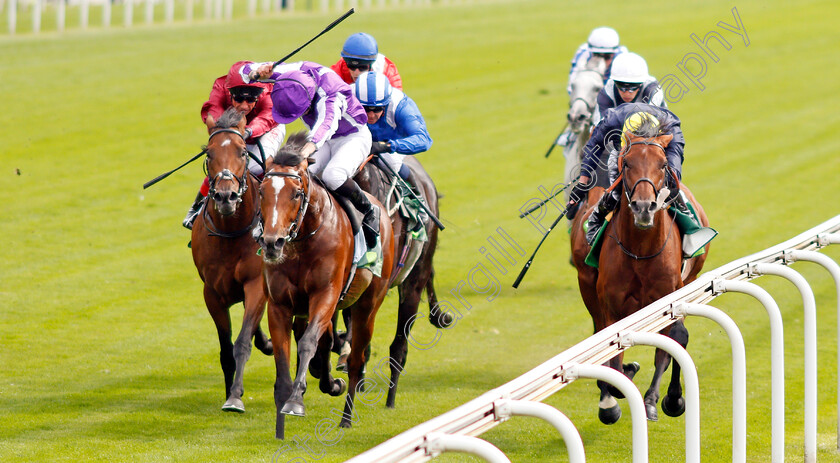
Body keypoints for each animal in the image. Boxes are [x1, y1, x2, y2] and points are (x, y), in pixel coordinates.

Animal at [190, 108, 272, 414]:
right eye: (209, 153)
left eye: (243, 152)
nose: (226, 196)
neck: (231, 232)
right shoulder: (212, 293)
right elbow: (226, 349)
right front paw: (229, 392)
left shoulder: (256, 284)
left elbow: (242, 343)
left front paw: (235, 396)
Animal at [258, 131, 396, 438]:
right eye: (261, 192)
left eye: (296, 193)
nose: (272, 243)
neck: (304, 239)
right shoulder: (280, 305)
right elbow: (285, 358)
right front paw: (280, 425)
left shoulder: (325, 295)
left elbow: (308, 343)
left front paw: (295, 403)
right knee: (327, 342)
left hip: (367, 305)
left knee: (356, 360)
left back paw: (345, 416)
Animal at [572, 126, 708, 424]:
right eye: (627, 163)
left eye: (663, 164)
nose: (644, 207)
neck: (640, 251)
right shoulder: (611, 307)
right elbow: (613, 357)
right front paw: (613, 396)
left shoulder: (669, 301)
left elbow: (669, 345)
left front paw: (664, 400)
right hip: (587, 287)